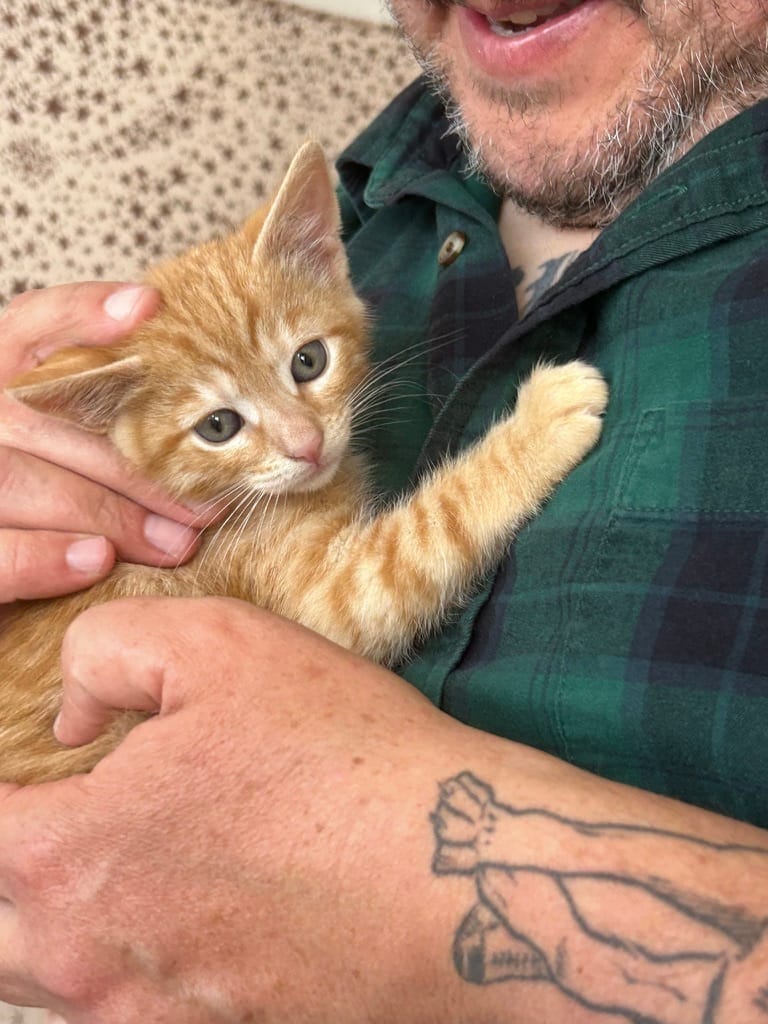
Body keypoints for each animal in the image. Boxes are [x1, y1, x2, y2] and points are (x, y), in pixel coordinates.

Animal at [0, 141, 607, 785]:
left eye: (308, 361)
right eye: (218, 426)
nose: (307, 444)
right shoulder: (320, 600)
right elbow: (428, 532)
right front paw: (543, 419)